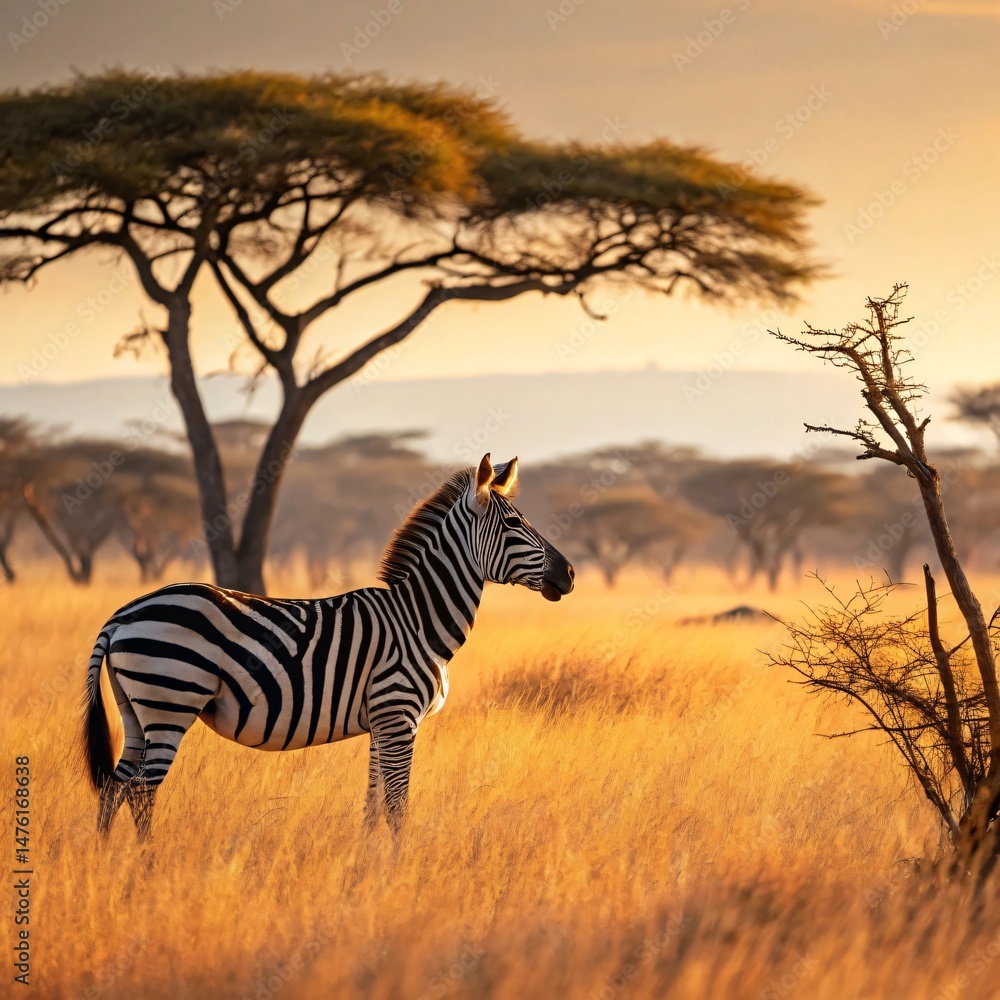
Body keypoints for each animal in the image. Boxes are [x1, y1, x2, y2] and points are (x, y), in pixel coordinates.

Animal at [84, 454, 575, 840]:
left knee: (114, 786)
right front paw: (398, 874)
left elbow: (372, 808)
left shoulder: (381, 724)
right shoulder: (398, 716)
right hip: (170, 701)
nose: (569, 574)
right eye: (513, 523)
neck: (417, 620)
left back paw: (106, 865)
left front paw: (364, 874)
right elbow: (397, 808)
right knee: (142, 791)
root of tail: (122, 614)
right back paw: (147, 867)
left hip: (136, 710)